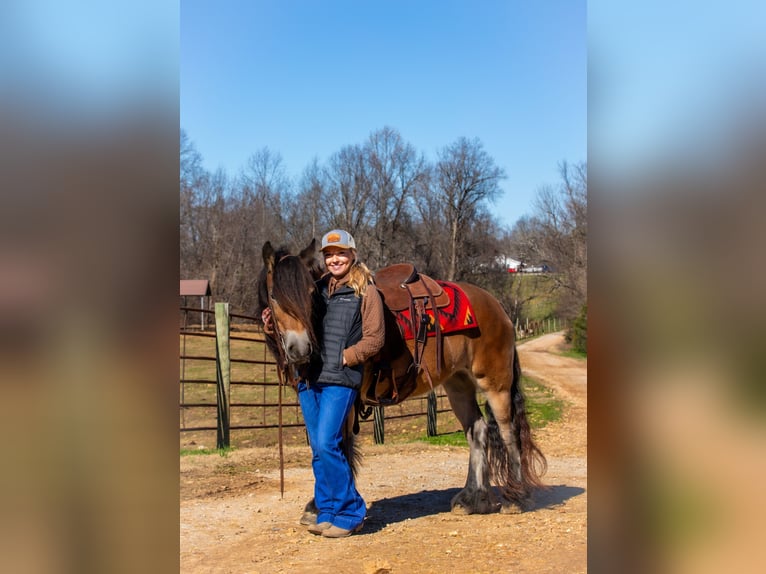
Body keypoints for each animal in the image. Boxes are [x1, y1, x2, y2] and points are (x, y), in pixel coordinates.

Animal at [256, 239, 547, 518]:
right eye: (274, 296)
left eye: (310, 294)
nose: (300, 348)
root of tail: (497, 307)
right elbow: (322, 443)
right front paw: (320, 505)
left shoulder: (344, 399)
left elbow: (340, 444)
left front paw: (329, 509)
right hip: (458, 384)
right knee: (477, 430)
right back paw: (474, 499)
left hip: (495, 383)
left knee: (508, 431)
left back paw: (514, 498)